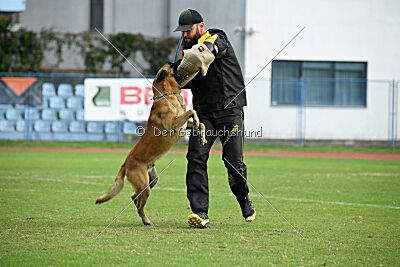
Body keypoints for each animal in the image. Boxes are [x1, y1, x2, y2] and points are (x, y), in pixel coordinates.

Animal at [95, 62, 205, 226]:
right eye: (173, 65)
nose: (180, 59)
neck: (167, 95)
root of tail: (125, 163)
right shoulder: (172, 124)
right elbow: (192, 111)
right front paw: (197, 120)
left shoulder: (184, 124)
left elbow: (199, 121)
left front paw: (202, 134)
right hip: (145, 185)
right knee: (140, 204)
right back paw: (146, 220)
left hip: (151, 180)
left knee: (134, 197)